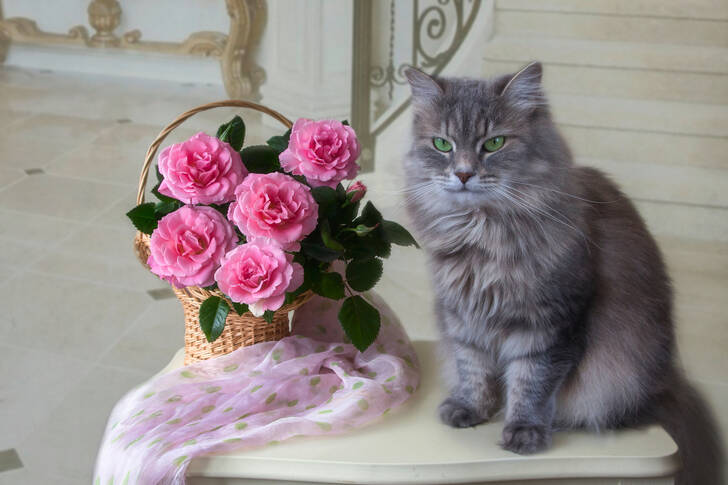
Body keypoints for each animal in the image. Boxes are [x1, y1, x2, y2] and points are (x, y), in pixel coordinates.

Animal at [404, 62, 724, 482]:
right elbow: (473, 368)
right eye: (443, 145)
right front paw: (471, 410)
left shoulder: (550, 323)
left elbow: (530, 383)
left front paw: (524, 431)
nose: (463, 173)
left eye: (494, 143)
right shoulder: (462, 316)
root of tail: (666, 382)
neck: (481, 233)